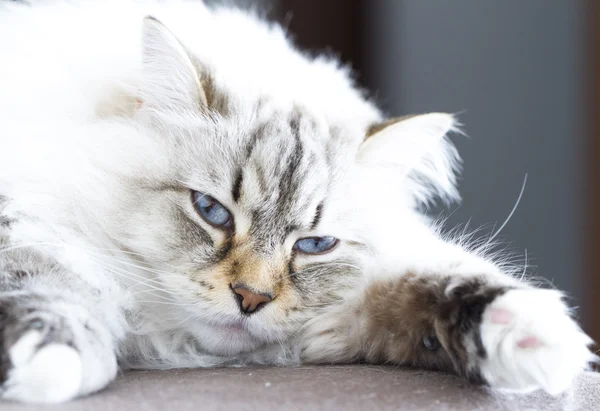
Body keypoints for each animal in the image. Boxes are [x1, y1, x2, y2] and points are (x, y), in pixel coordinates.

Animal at [0, 0, 592, 406]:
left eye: (314, 245)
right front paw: (50, 361)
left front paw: (535, 337)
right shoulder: (27, 218)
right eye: (212, 211)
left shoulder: (349, 313)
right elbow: (51, 283)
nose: (251, 298)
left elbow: (440, 281)